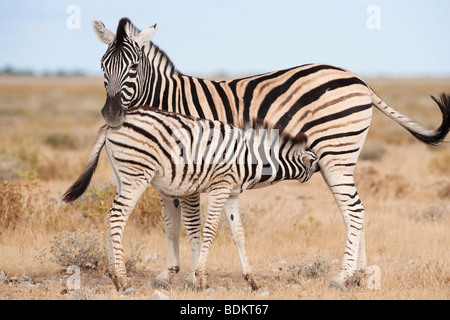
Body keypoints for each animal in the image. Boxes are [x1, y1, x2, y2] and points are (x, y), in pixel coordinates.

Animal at [63, 105, 318, 292]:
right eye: (316, 163)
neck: (250, 158)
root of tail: (111, 125)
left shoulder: (231, 193)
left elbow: (238, 234)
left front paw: (252, 280)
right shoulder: (220, 188)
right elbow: (210, 230)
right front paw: (202, 279)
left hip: (121, 177)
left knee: (109, 217)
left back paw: (112, 275)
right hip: (137, 174)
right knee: (117, 218)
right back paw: (123, 281)